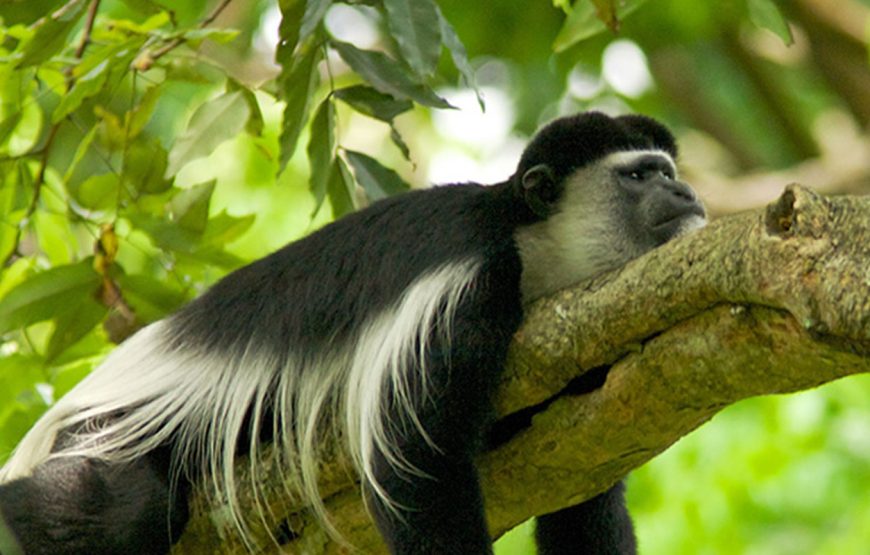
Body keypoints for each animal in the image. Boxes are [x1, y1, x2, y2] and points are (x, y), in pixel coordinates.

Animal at [0, 111, 706, 554]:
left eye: (666, 170)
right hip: (104, 431)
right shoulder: (458, 293)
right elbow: (419, 466)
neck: (530, 247)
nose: (686, 192)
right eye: (639, 175)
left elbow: (585, 488)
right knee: (109, 508)